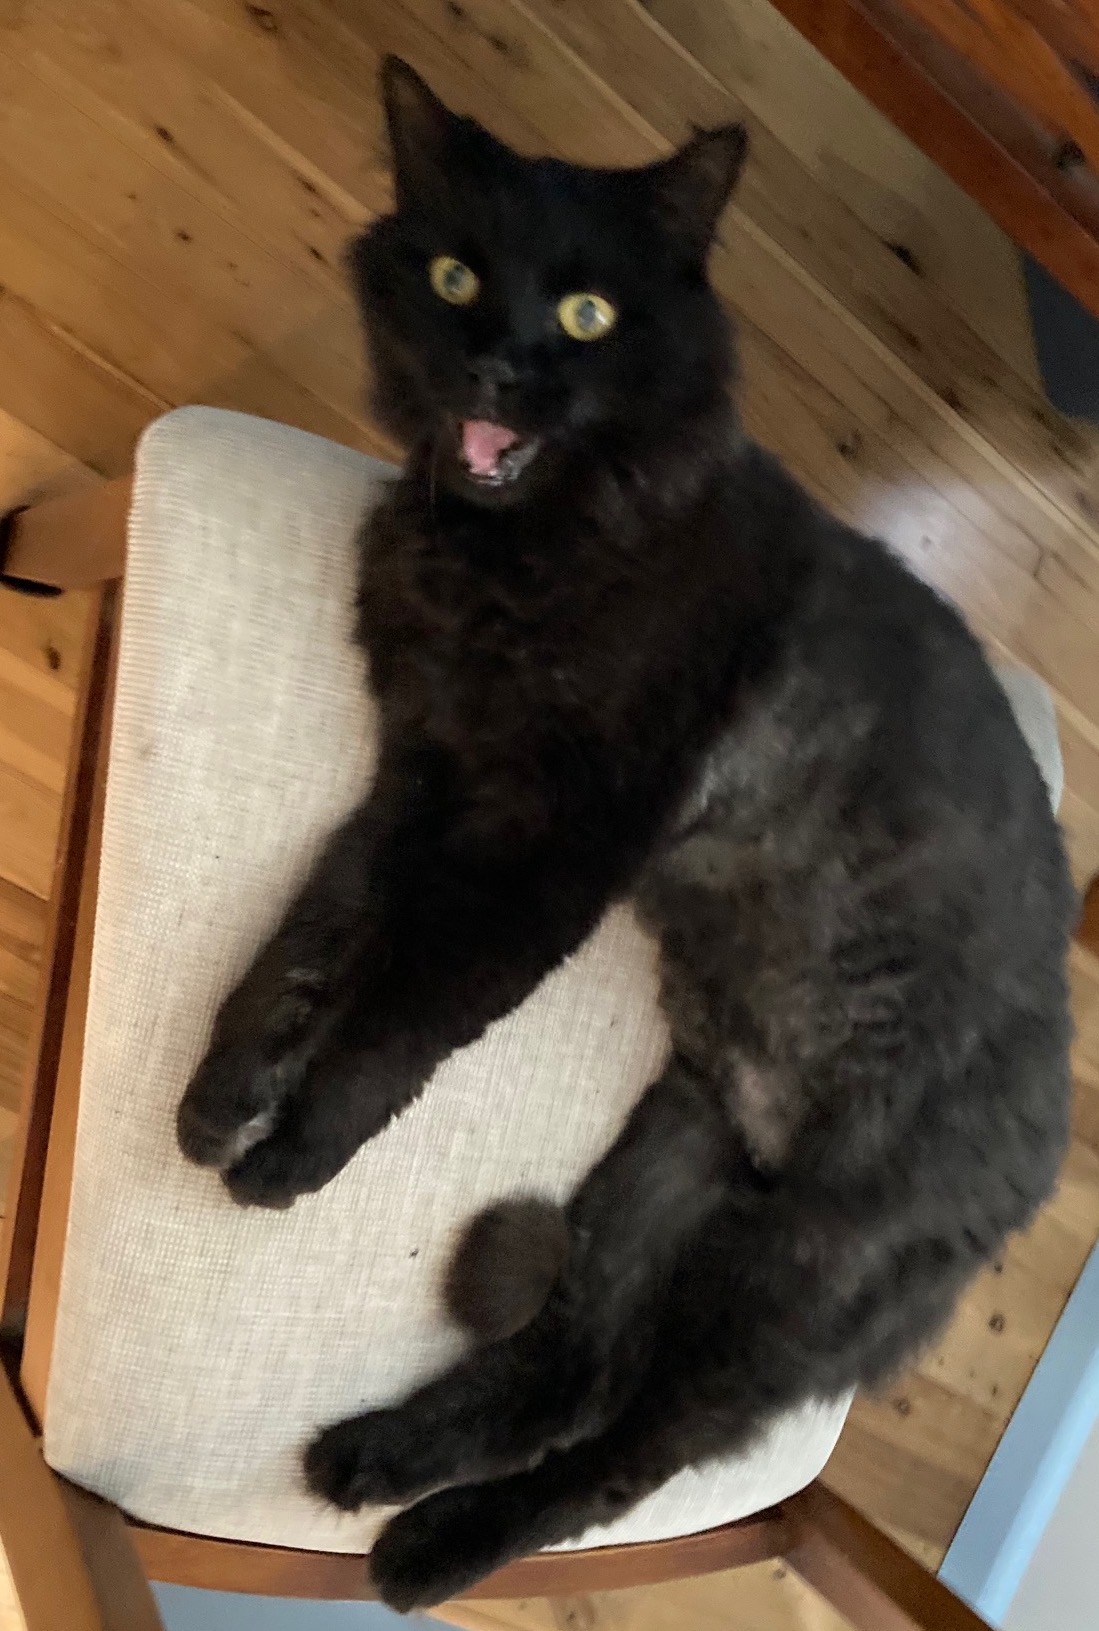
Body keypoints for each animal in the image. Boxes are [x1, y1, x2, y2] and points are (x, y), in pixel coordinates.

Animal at [177, 57, 1075, 1610]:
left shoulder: (553, 848)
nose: (501, 365)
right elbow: (314, 933)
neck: (525, 541)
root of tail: (1044, 1146)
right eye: (456, 275)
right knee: (570, 1365)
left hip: (773, 1290)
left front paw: (296, 1155)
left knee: (617, 1459)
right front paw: (226, 1093)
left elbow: (400, 1015)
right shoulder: (421, 771)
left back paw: (431, 1550)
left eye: (589, 314)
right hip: (669, 1163)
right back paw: (373, 1463)